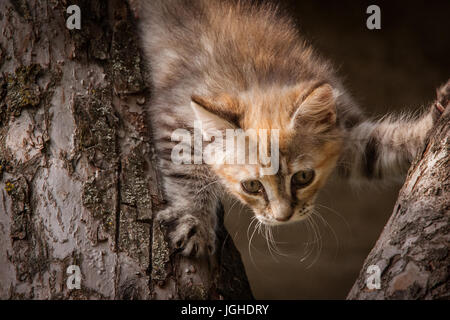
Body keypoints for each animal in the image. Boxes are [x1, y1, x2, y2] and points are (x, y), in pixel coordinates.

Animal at [139, 0, 448, 256]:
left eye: (303, 177)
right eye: (252, 186)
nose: (283, 217)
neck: (257, 78)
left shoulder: (346, 128)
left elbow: (385, 145)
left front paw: (434, 117)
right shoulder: (174, 115)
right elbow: (186, 172)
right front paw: (194, 221)